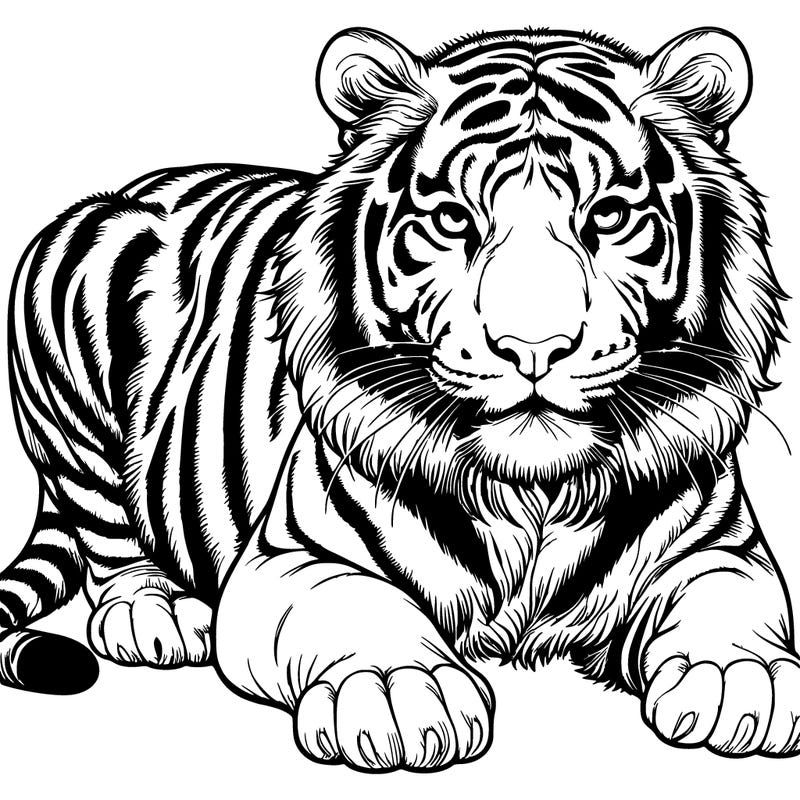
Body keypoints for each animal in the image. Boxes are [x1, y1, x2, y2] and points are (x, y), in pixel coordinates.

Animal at [1, 23, 797, 770]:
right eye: (452, 221)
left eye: (607, 218)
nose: (533, 347)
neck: (534, 493)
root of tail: (152, 181)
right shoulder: (291, 556)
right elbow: (354, 606)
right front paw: (399, 695)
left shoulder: (724, 547)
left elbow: (724, 598)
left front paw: (745, 680)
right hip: (75, 308)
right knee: (107, 536)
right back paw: (157, 613)